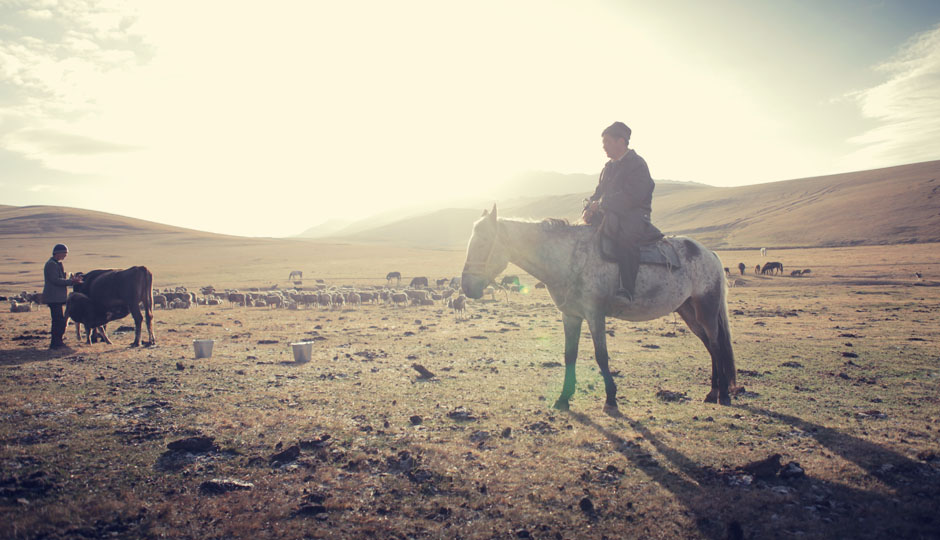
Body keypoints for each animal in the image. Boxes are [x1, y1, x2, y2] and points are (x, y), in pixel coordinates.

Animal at [458, 205, 740, 412]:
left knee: (716, 345)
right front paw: (563, 398)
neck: (570, 259)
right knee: (709, 346)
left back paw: (723, 394)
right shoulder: (570, 315)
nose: (467, 287)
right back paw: (713, 391)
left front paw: (611, 399)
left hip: (706, 309)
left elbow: (601, 355)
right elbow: (569, 355)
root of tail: (710, 254)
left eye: (483, 243)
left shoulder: (595, 315)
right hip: (688, 311)